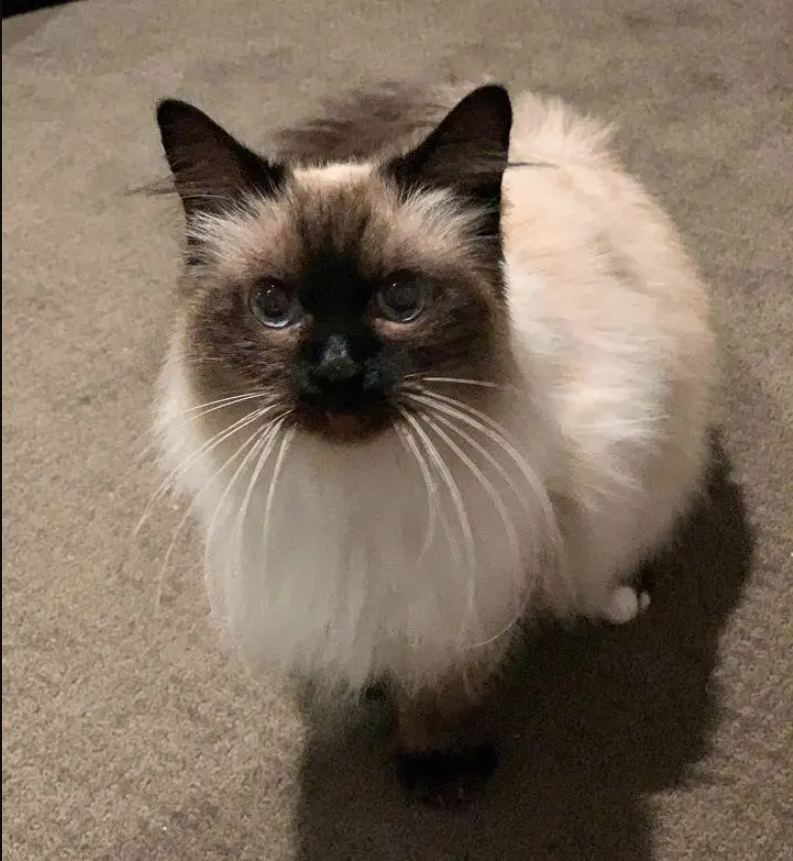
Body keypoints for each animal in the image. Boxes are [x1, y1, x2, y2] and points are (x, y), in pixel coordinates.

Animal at [152, 80, 716, 808]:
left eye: (402, 300)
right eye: (274, 308)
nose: (337, 370)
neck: (356, 489)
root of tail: (550, 134)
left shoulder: (471, 576)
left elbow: (446, 680)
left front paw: (441, 768)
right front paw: (379, 692)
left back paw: (618, 599)